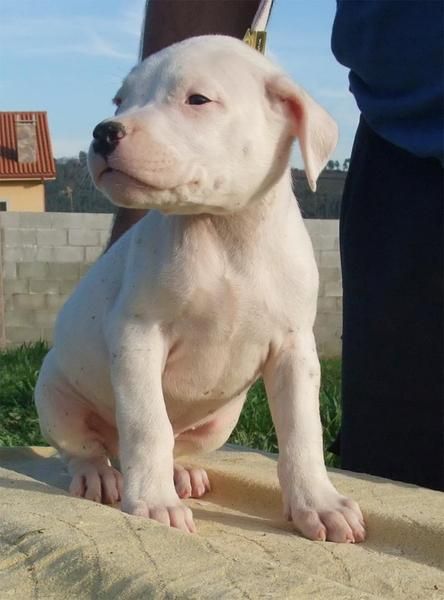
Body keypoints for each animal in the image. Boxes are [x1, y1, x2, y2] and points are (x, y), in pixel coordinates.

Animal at [35, 36, 364, 544]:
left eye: (198, 100)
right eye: (120, 100)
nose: (103, 132)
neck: (222, 230)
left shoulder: (295, 350)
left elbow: (302, 433)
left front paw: (320, 504)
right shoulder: (137, 337)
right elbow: (149, 424)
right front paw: (153, 504)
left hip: (222, 421)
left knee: (178, 443)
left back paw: (180, 472)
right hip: (53, 395)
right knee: (85, 447)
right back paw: (99, 474)